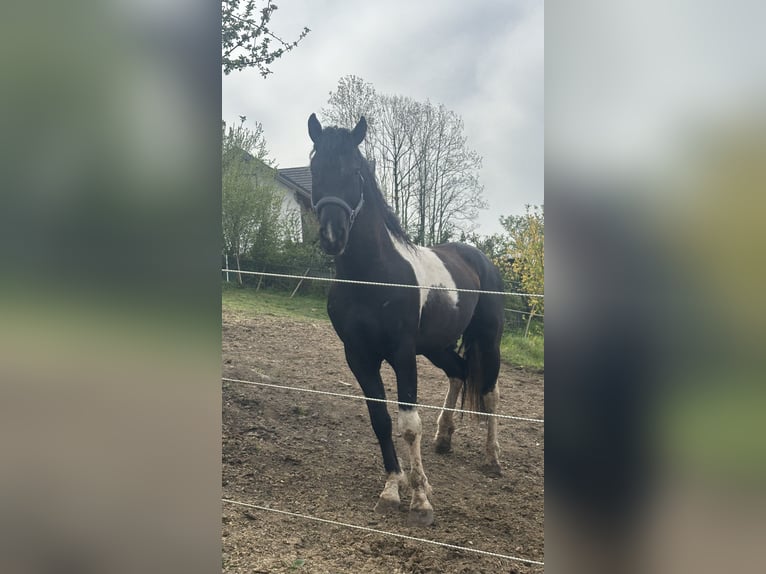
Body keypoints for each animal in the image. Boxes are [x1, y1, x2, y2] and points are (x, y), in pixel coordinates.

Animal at [307, 113, 505, 526]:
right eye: (316, 169)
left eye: (355, 170)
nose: (333, 236)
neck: (372, 277)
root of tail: (480, 259)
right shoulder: (359, 357)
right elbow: (381, 419)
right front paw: (392, 489)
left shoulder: (401, 354)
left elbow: (409, 425)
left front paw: (420, 501)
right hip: (437, 346)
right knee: (459, 372)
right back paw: (444, 438)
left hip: (488, 339)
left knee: (490, 392)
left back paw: (493, 458)